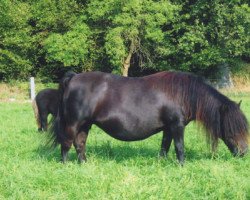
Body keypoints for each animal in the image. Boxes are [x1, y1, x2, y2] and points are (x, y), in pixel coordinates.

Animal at [49, 70, 248, 164]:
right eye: (232, 127)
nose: (244, 152)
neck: (183, 93)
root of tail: (73, 78)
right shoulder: (177, 126)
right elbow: (179, 147)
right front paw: (182, 166)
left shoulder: (168, 128)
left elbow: (164, 148)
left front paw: (162, 164)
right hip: (73, 123)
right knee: (66, 144)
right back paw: (65, 165)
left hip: (85, 125)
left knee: (80, 144)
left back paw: (84, 164)